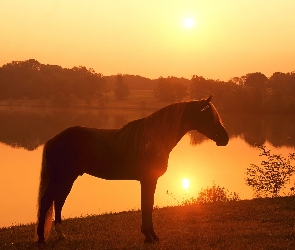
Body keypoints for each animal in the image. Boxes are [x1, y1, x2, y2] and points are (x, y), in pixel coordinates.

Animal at [34, 94, 229, 243]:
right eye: (209, 116)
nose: (225, 138)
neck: (152, 139)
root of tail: (54, 139)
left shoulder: (148, 180)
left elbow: (147, 205)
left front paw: (149, 235)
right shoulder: (148, 180)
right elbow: (147, 205)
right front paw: (151, 236)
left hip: (68, 178)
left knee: (58, 202)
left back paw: (61, 235)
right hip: (61, 178)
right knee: (47, 201)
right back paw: (42, 239)